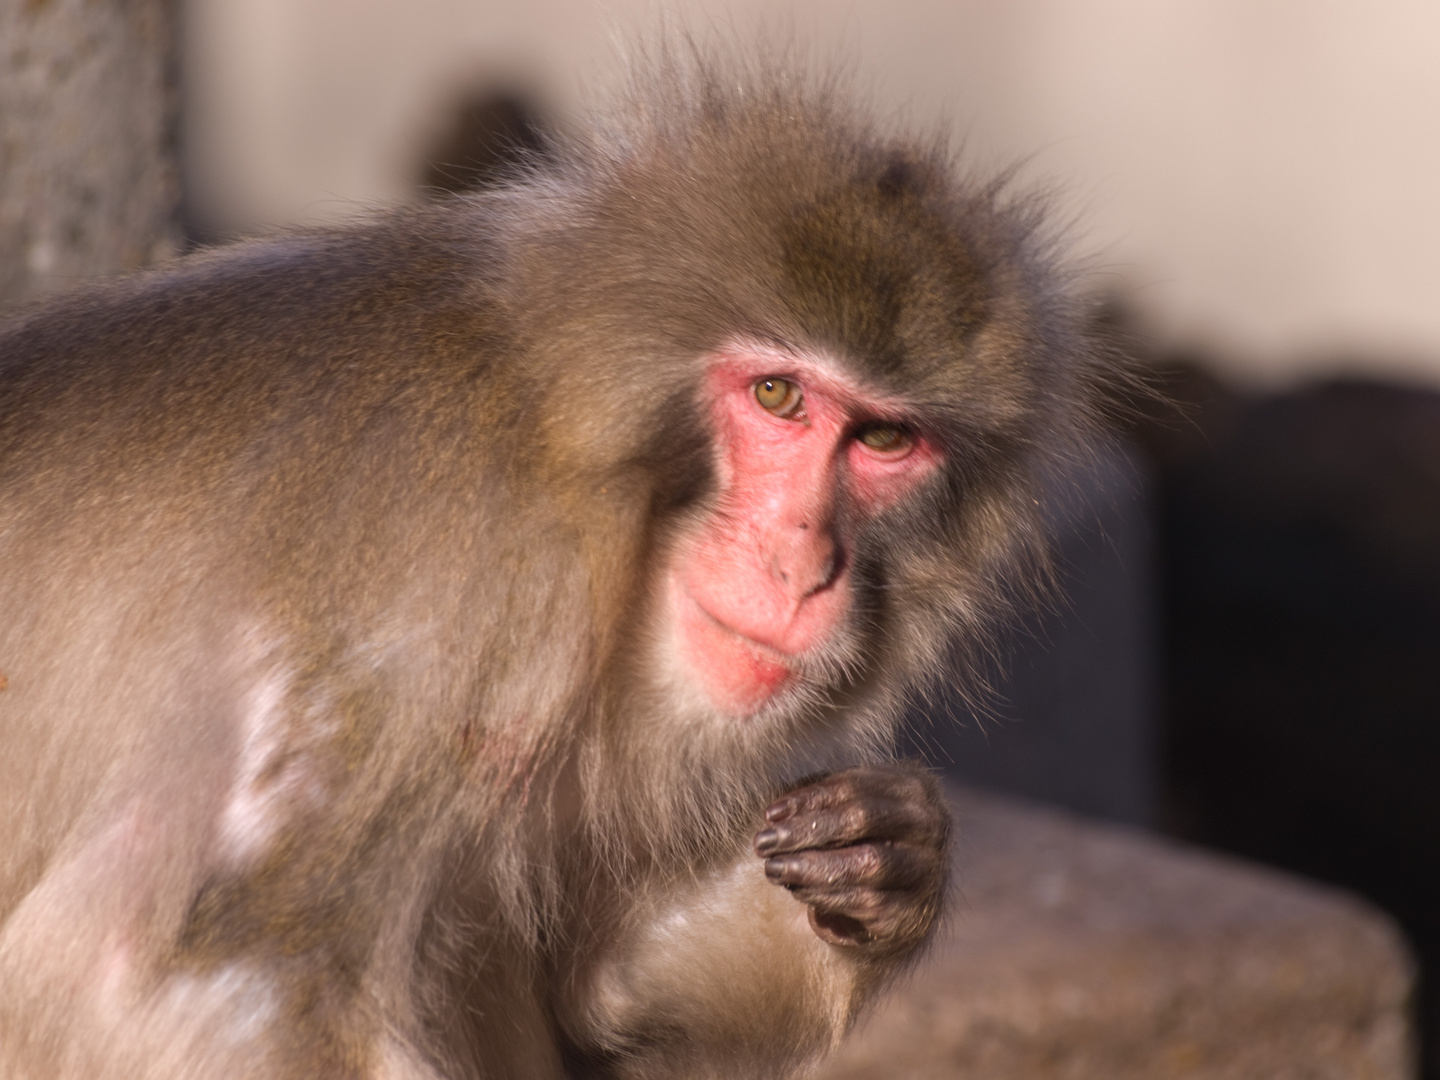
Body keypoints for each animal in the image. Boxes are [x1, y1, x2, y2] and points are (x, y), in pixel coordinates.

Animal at [0, 42, 1111, 1080]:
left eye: (884, 441)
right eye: (778, 397)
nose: (803, 561)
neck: (564, 434)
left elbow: (593, 993)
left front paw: (891, 860)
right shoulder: (447, 589)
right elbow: (182, 976)